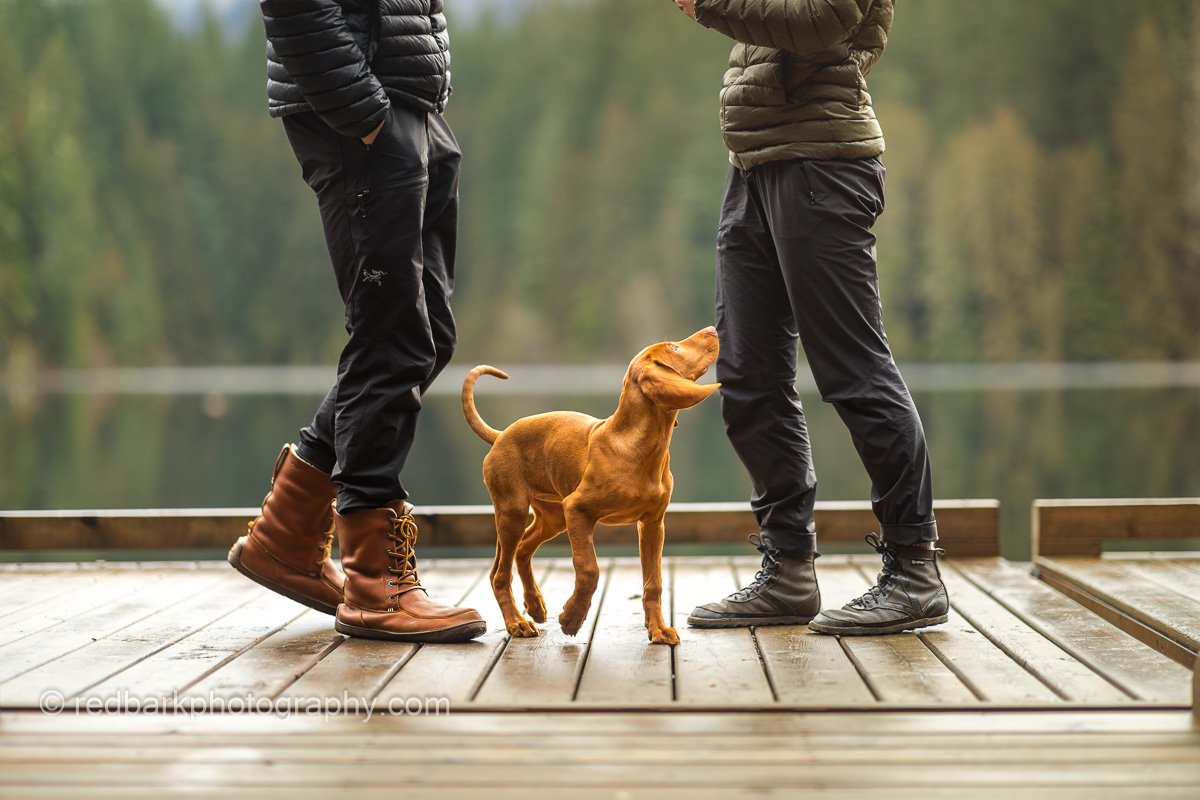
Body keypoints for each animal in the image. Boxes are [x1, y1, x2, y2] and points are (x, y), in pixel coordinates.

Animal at [463, 328, 715, 647]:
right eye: (674, 347)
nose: (713, 330)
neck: (640, 445)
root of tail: (500, 435)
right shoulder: (578, 509)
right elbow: (589, 569)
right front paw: (572, 619)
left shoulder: (652, 523)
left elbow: (653, 582)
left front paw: (658, 629)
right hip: (514, 511)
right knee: (499, 574)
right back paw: (517, 623)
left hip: (552, 516)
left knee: (522, 549)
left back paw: (535, 605)